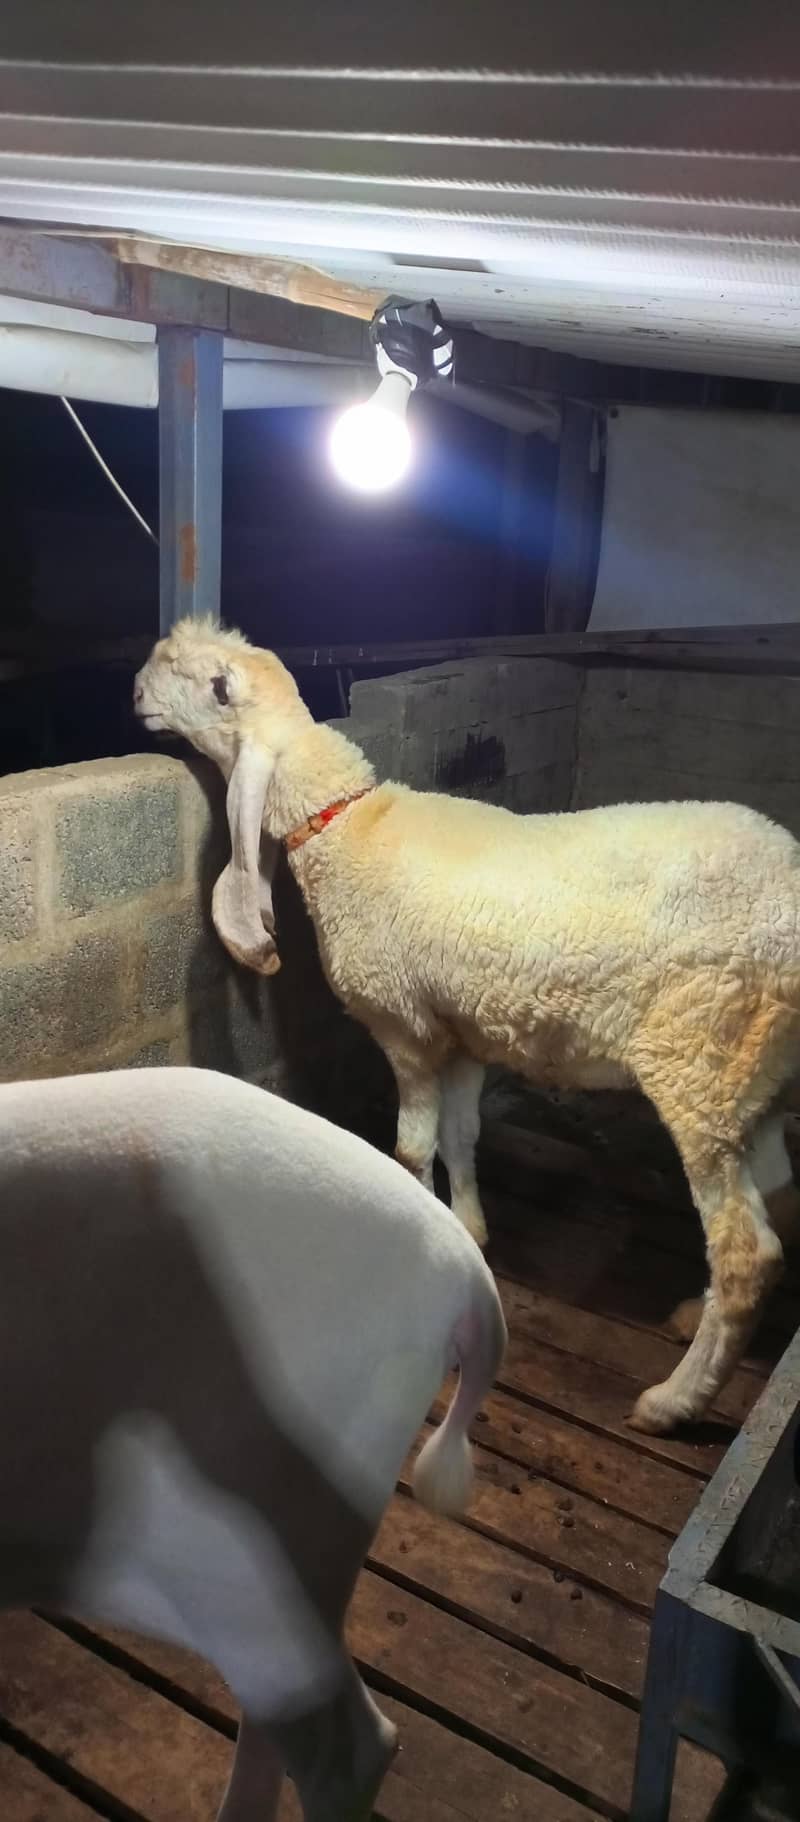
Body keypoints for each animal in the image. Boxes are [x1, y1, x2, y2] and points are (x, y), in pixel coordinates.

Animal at [134, 620, 800, 1437]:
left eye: (214, 685)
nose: (135, 690)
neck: (346, 829)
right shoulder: (462, 1032)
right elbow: (461, 1136)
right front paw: (472, 1231)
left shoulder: (403, 1026)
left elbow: (411, 1149)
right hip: (755, 1071)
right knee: (779, 1196)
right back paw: (687, 1317)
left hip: (699, 1055)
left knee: (746, 1256)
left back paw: (673, 1401)